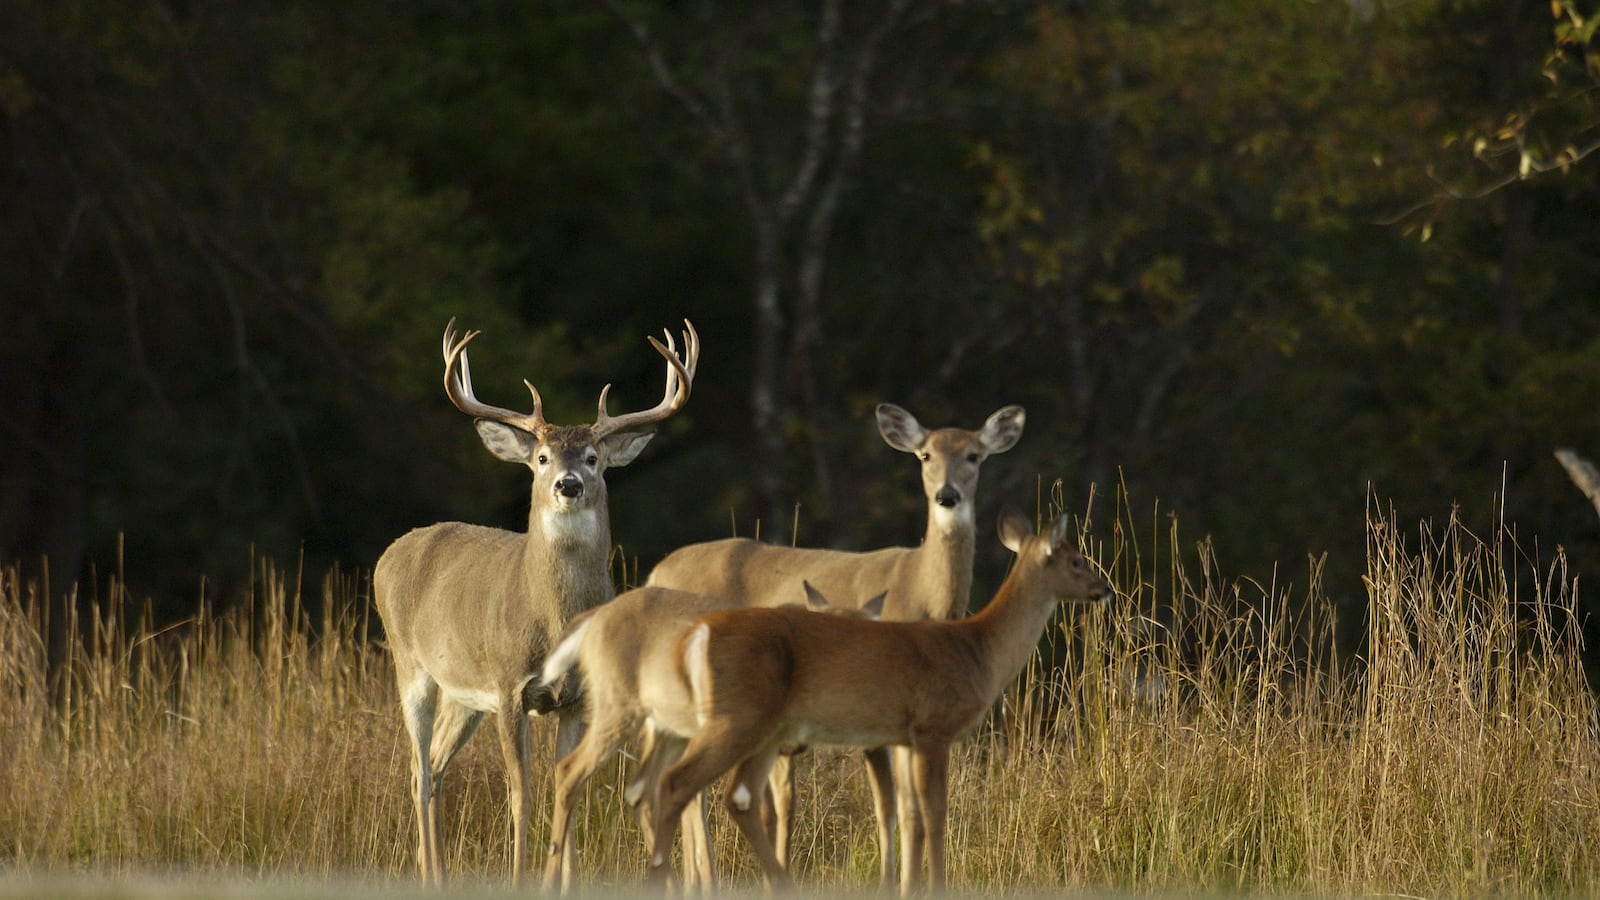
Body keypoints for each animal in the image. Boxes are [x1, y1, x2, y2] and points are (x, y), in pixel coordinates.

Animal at [372, 317, 698, 887]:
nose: (568, 484)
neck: (555, 620)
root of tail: (388, 555)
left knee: (434, 764)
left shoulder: (578, 699)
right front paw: (521, 876)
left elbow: (570, 788)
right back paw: (430, 875)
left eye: (593, 458)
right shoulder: (508, 686)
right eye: (542, 458)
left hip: (462, 695)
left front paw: (563, 883)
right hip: (411, 667)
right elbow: (521, 794)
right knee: (417, 772)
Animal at [537, 582, 885, 894]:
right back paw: (550, 882)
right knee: (570, 770)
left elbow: (780, 809)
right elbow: (756, 810)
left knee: (640, 791)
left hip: (667, 728)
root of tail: (594, 618)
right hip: (619, 706)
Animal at [642, 507, 1113, 894]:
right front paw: (937, 887)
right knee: (681, 784)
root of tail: (695, 635)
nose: (1104, 587)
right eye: (1075, 560)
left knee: (714, 792)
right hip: (740, 719)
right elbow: (935, 812)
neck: (978, 647)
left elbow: (908, 812)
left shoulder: (902, 736)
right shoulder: (933, 727)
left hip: (753, 728)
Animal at [643, 402, 1025, 886]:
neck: (921, 590)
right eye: (925, 455)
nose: (947, 495)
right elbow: (894, 805)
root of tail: (654, 573)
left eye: (974, 455)